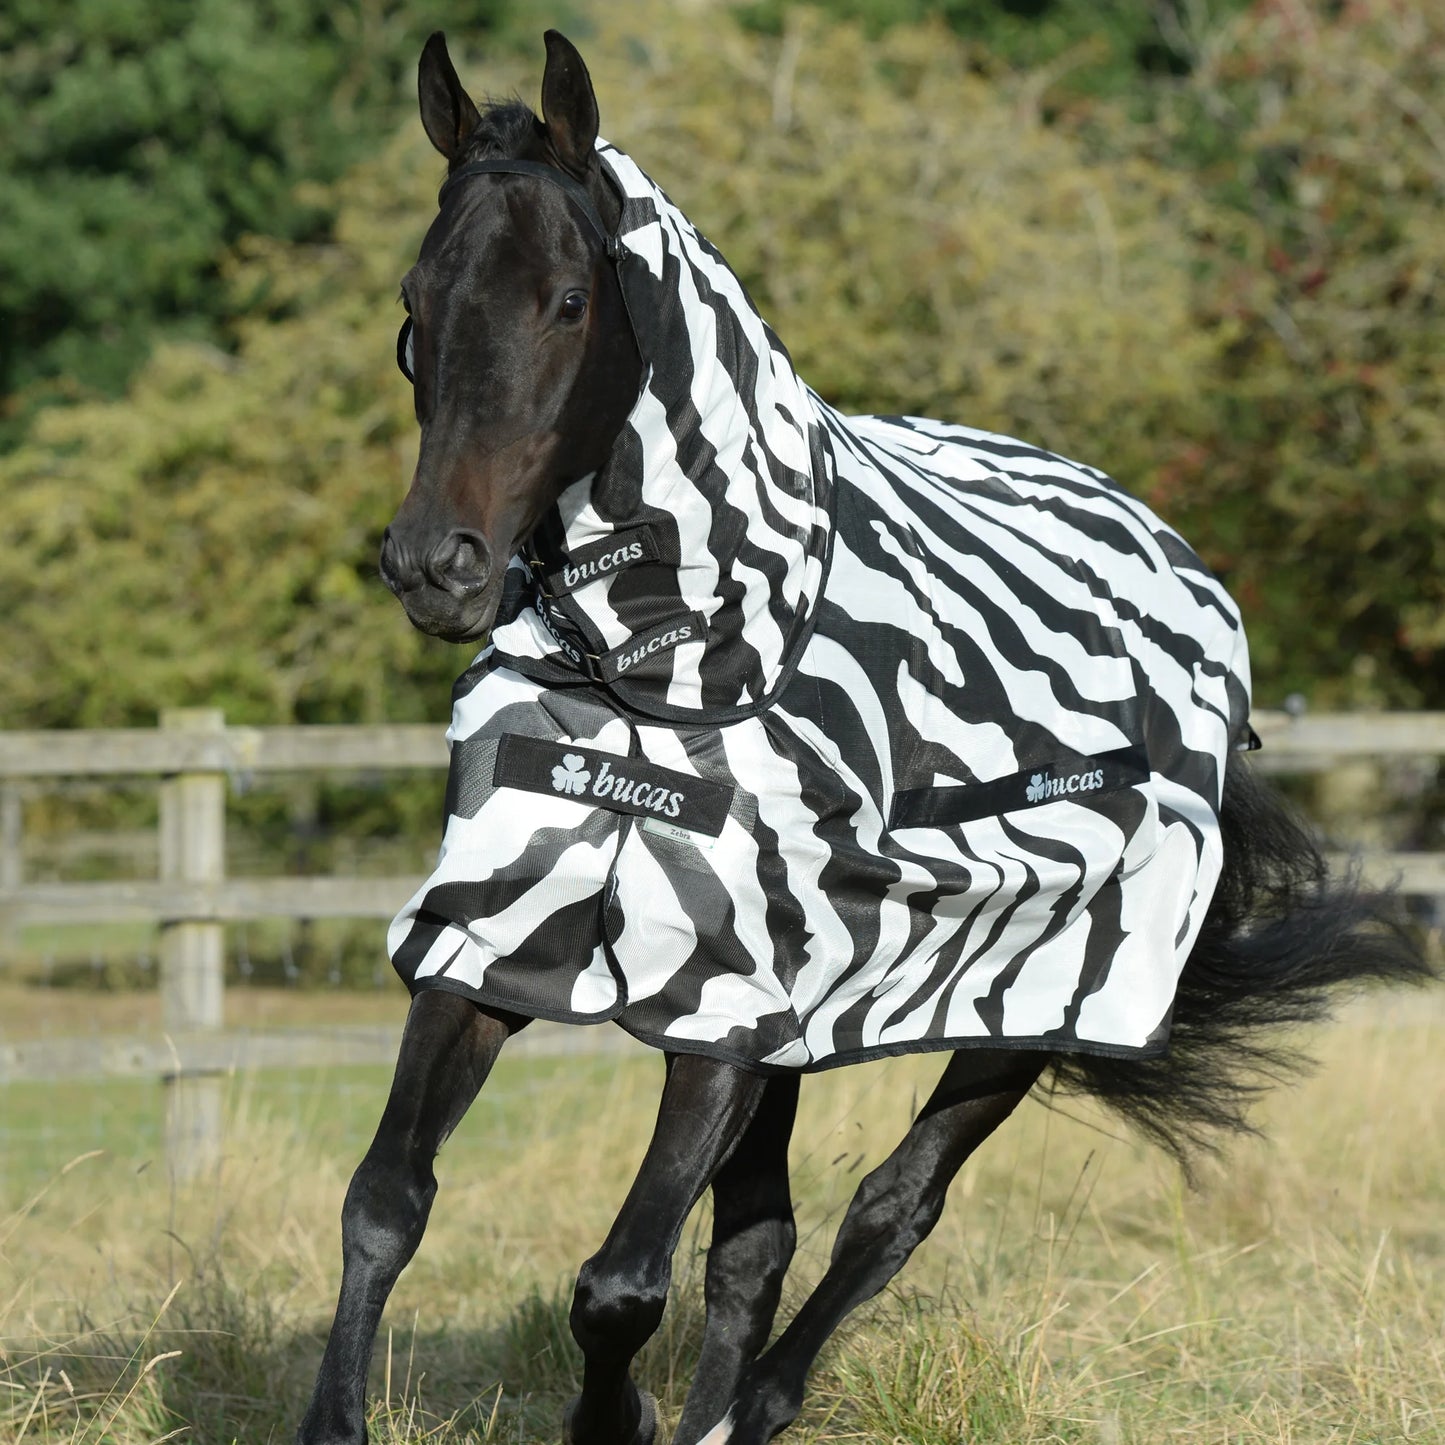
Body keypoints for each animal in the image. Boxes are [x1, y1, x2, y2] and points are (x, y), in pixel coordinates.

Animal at [296, 31, 1429, 1445]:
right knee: (757, 1242)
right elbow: (384, 1203)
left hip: (1019, 1012)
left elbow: (619, 1281)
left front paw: (620, 1422)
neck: (664, 673)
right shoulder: (500, 937)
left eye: (564, 300)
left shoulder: (720, 994)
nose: (435, 565)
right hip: (797, 1021)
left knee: (887, 1211)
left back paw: (753, 1406)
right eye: (414, 302)